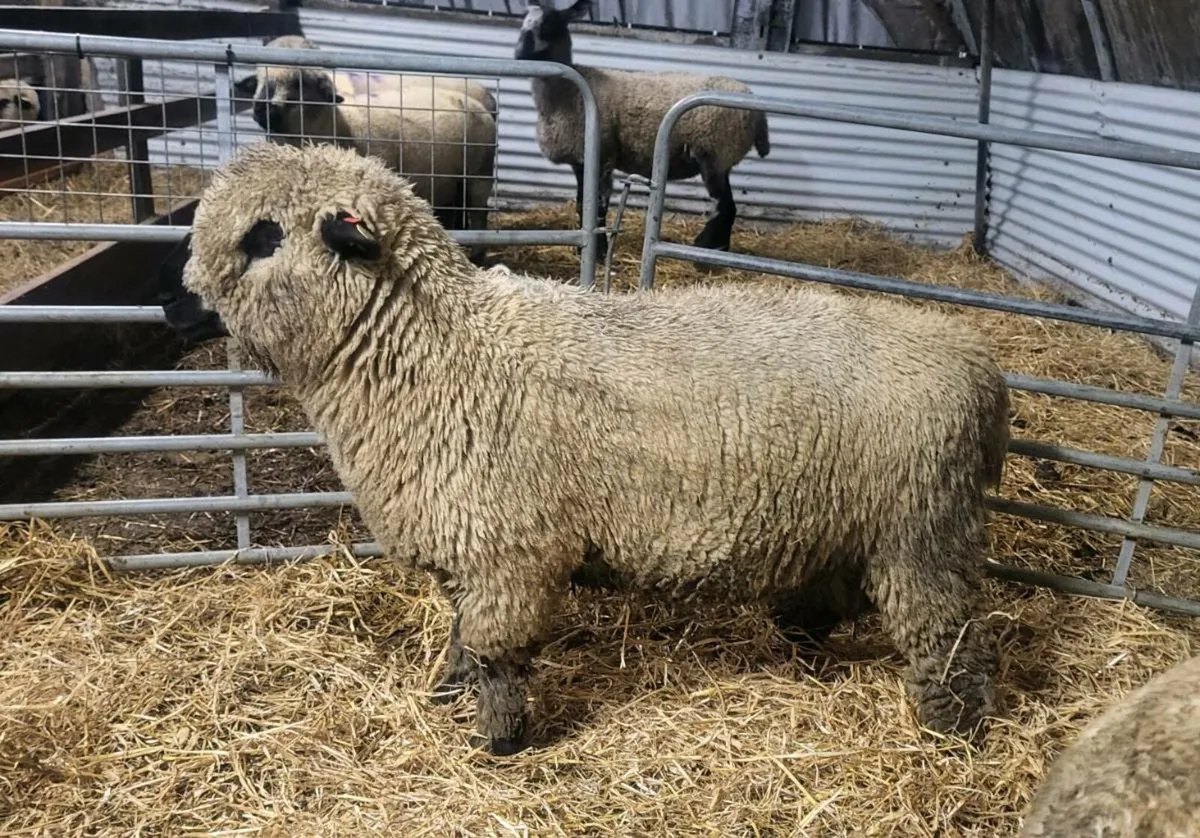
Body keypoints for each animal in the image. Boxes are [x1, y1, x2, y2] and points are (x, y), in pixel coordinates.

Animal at [159, 142, 1011, 757]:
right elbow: (461, 636)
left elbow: (496, 653)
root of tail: (979, 362)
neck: (439, 353)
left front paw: (500, 742)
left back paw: (952, 731)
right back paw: (800, 637)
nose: (170, 304)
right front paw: (447, 692)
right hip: (860, 521)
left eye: (264, 236)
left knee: (945, 636)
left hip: (921, 530)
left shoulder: (509, 552)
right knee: (843, 593)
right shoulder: (469, 548)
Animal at [233, 35, 498, 264]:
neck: (336, 124)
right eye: (258, 78)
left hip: (479, 174)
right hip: (451, 180)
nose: (262, 109)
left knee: (479, 213)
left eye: (299, 82)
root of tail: (481, 103)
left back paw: (477, 256)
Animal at [514, 0, 771, 254]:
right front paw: (583, 248)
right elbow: (581, 203)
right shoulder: (580, 160)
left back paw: (706, 250)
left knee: (726, 206)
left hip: (715, 152)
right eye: (522, 23)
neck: (568, 93)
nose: (518, 55)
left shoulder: (603, 154)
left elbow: (598, 205)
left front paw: (598, 251)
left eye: (551, 24)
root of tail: (758, 113)